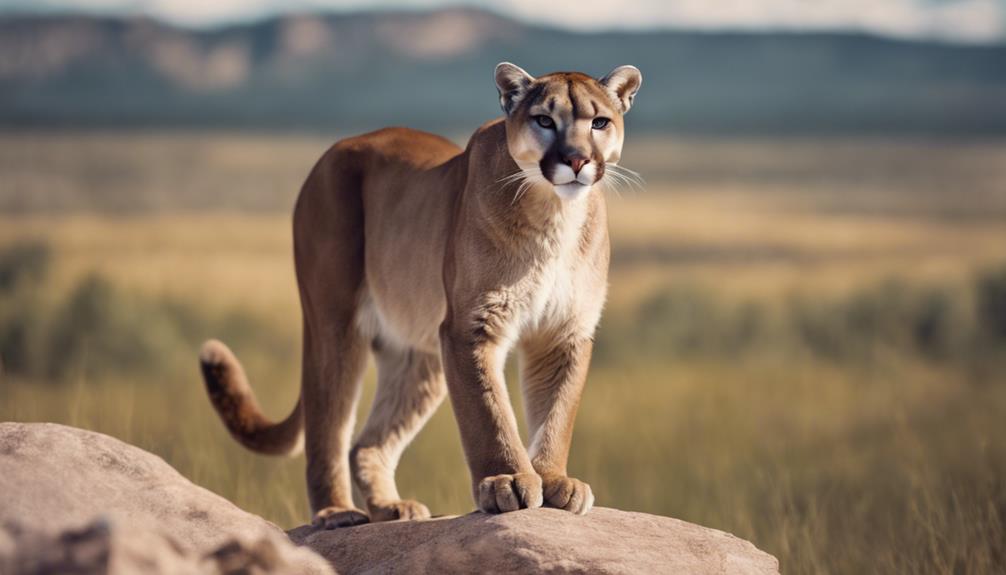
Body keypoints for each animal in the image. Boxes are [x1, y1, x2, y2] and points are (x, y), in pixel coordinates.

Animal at [199, 62, 642, 528]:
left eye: (599, 122)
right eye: (544, 120)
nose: (576, 159)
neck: (554, 215)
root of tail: (341, 145)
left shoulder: (564, 332)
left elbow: (558, 411)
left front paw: (556, 480)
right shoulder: (471, 325)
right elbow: (488, 411)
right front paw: (506, 481)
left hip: (419, 356)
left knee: (366, 442)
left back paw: (391, 508)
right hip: (335, 323)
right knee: (328, 427)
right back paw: (337, 511)